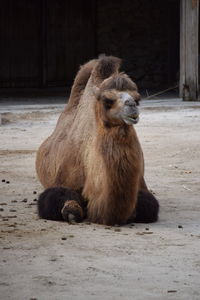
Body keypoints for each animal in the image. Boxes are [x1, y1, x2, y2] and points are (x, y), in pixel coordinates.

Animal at [35, 55, 159, 226]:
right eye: (107, 101)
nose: (132, 106)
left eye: (137, 99)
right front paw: (71, 212)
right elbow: (62, 204)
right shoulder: (63, 181)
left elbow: (149, 206)